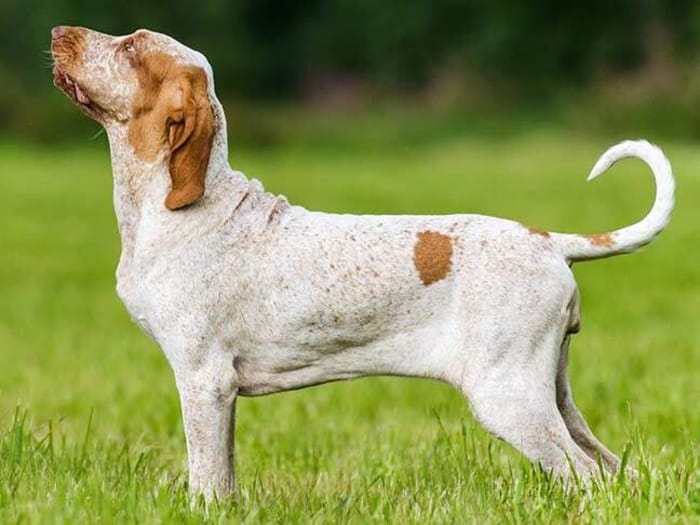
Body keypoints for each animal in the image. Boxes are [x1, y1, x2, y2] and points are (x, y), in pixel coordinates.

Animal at [49, 25, 672, 500]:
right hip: (552, 394)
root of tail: (549, 240)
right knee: (613, 469)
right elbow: (223, 479)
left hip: (508, 398)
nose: (59, 32)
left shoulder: (204, 381)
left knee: (585, 475)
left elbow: (206, 479)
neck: (178, 207)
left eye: (132, 47)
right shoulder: (218, 393)